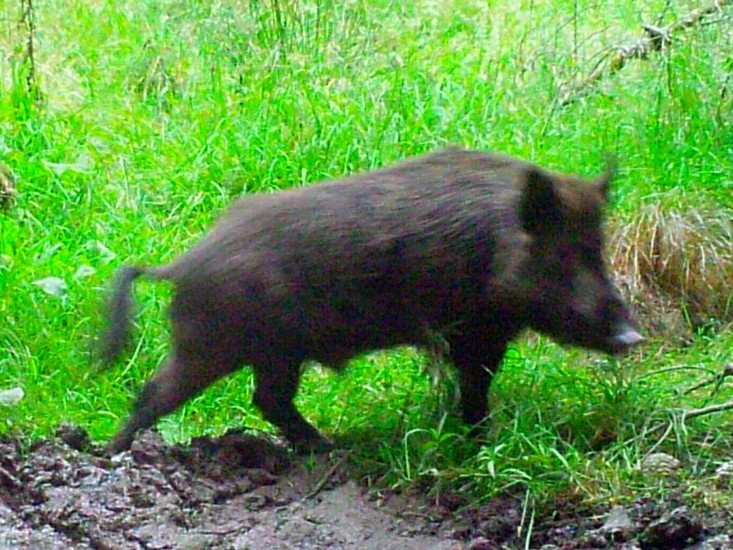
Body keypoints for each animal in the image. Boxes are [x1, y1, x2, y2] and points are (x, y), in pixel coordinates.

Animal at [99, 147, 643, 453]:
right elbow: (474, 388)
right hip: (212, 342)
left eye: (600, 250)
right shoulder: (469, 330)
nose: (632, 336)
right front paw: (479, 441)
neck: (494, 248)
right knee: (155, 392)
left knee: (268, 399)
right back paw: (112, 452)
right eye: (559, 257)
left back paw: (323, 445)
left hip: (276, 353)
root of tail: (182, 263)